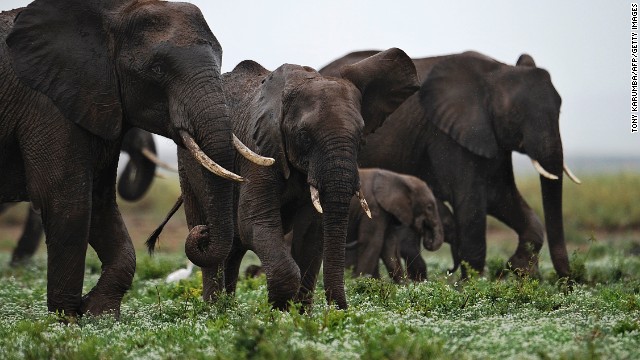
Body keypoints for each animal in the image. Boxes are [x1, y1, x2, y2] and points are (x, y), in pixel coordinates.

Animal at [149, 47, 420, 310]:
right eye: (304, 136)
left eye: (361, 138)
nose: (341, 309)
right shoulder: (258, 146)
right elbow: (254, 221)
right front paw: (278, 311)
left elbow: (311, 233)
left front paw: (299, 315)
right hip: (187, 164)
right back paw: (213, 310)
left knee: (233, 247)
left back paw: (228, 309)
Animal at [320, 50, 580, 278]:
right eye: (515, 113)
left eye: (560, 109)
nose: (568, 282)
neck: (497, 71)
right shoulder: (450, 136)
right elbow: (472, 205)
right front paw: (473, 285)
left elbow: (501, 196)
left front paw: (517, 270)